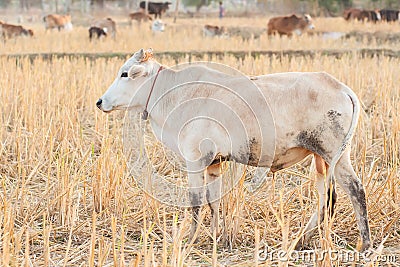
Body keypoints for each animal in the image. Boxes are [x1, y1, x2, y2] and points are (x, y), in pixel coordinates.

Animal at [97, 48, 372, 253]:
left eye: (125, 74)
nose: (100, 102)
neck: (175, 93)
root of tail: (341, 88)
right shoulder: (214, 163)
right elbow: (213, 201)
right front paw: (216, 237)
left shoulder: (195, 160)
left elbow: (195, 201)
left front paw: (189, 239)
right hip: (321, 159)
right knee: (326, 198)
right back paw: (302, 239)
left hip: (335, 155)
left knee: (355, 190)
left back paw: (365, 243)